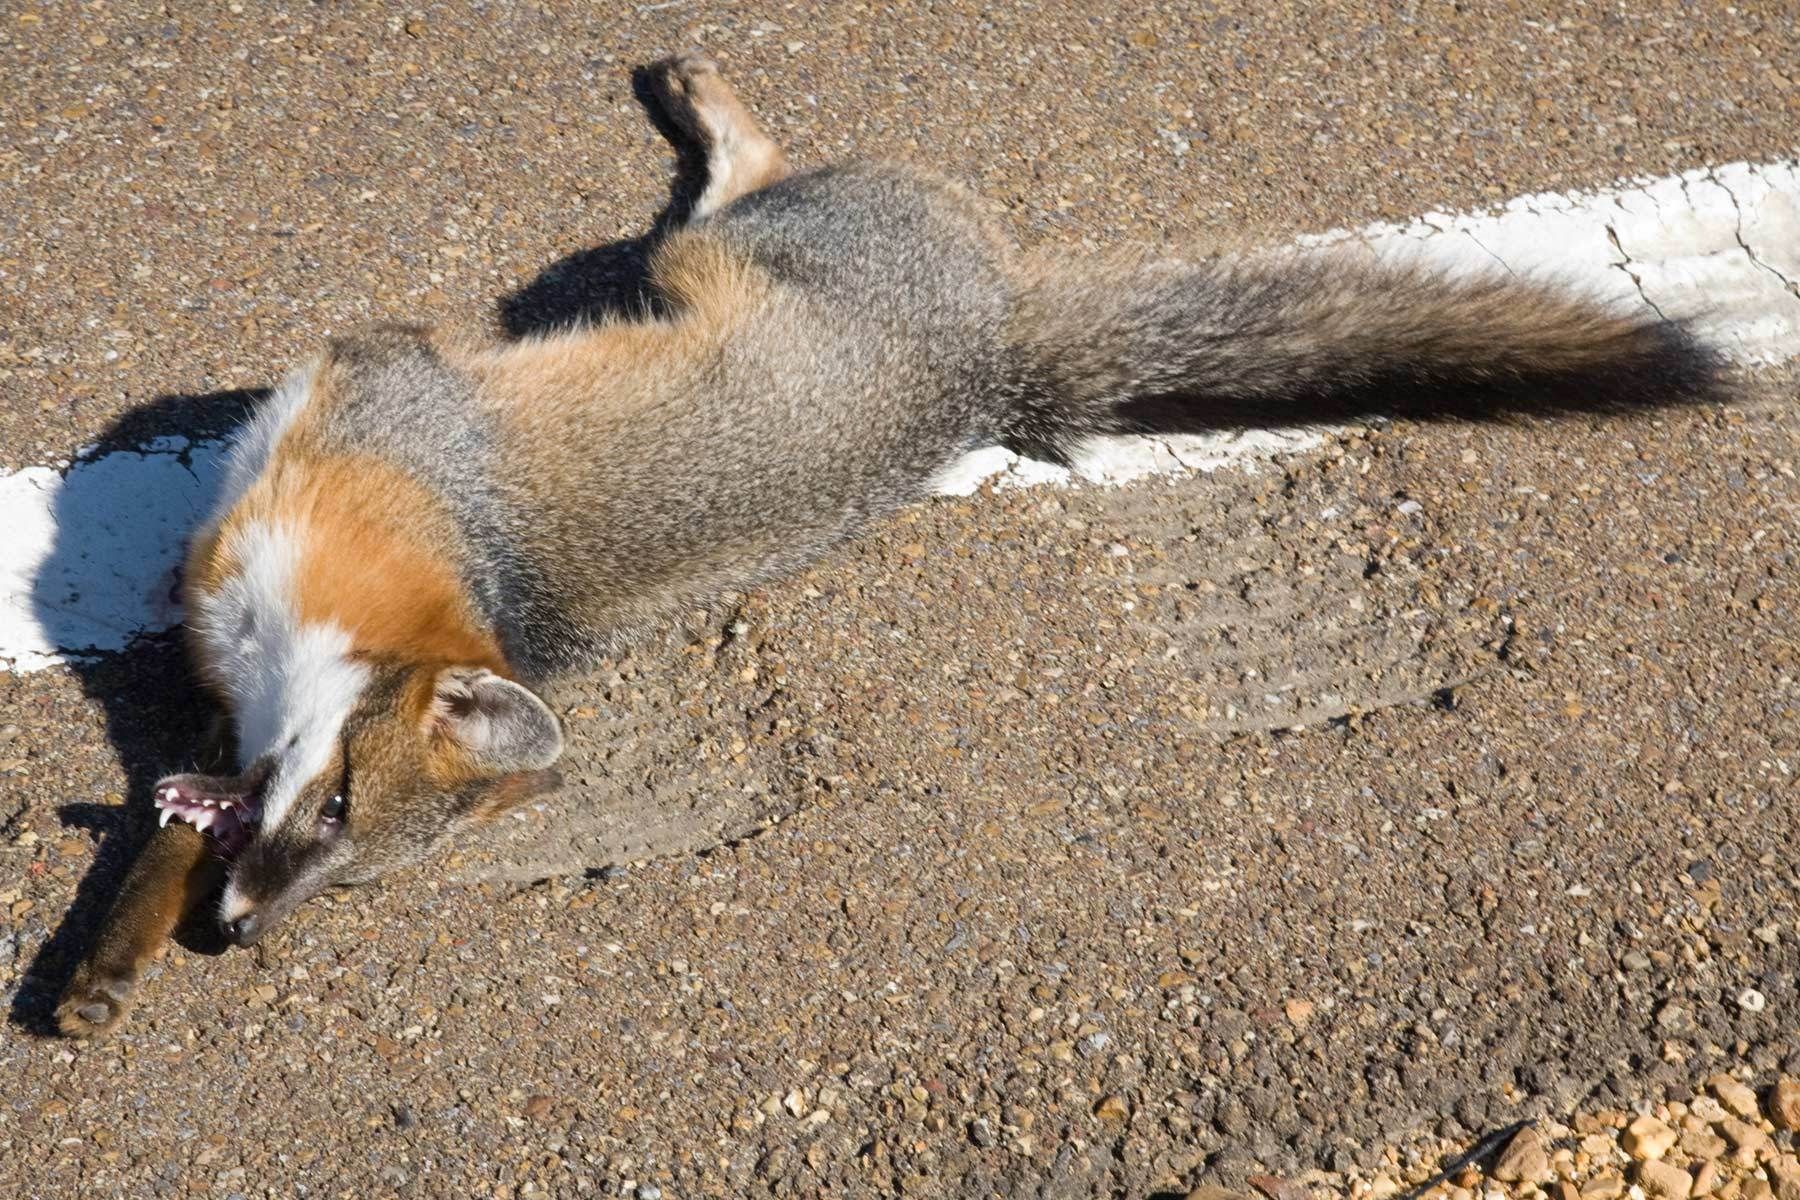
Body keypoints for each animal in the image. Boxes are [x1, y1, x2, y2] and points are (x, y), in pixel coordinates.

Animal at [53, 56, 1722, 1038]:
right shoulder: (244, 664)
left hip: (710, 248)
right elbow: (162, 824)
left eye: (350, 853)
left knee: (744, 169)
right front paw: (107, 963)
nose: (238, 939)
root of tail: (995, 353)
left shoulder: (365, 401)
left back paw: (703, 95)